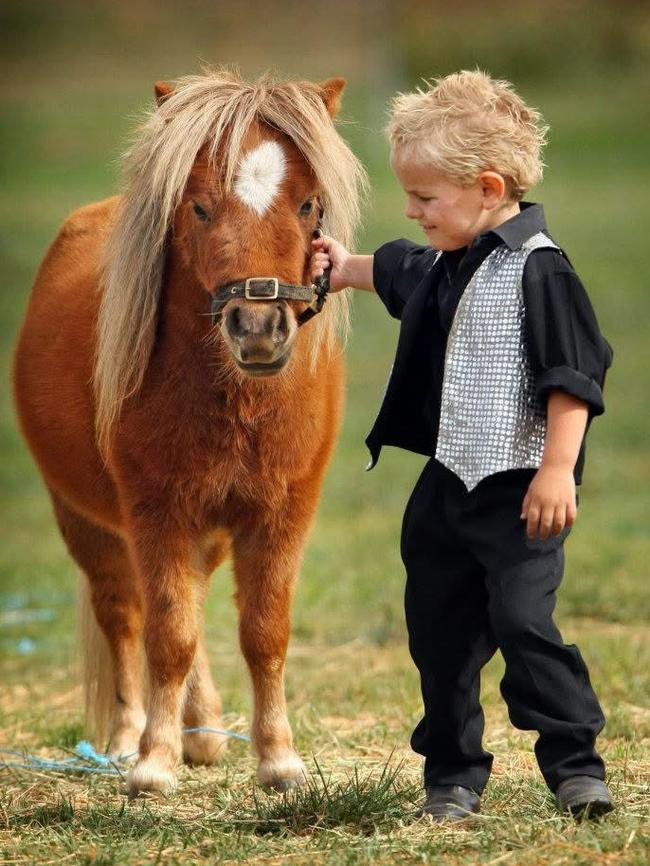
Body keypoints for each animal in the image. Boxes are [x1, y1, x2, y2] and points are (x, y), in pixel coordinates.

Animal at [12, 69, 364, 796]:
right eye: (199, 209)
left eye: (309, 205)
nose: (257, 330)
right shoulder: (158, 512)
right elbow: (167, 636)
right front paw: (152, 763)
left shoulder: (281, 515)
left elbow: (263, 632)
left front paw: (277, 760)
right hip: (88, 523)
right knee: (126, 614)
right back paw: (129, 739)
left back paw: (200, 733)